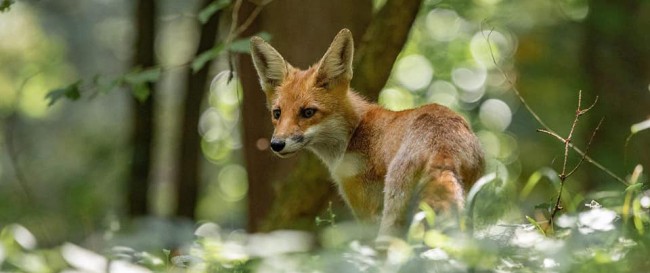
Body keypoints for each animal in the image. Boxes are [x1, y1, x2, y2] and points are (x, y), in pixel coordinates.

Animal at [251, 28, 484, 239]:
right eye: (277, 113)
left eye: (308, 112)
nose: (277, 144)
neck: (354, 133)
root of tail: (443, 148)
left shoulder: (366, 211)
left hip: (392, 218)